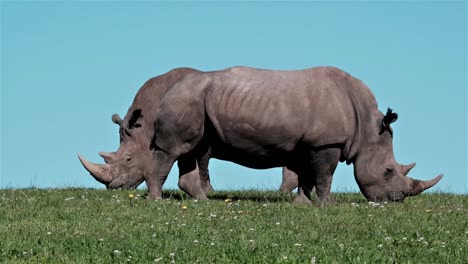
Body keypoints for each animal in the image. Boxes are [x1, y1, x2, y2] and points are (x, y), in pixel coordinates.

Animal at [144, 65, 444, 202]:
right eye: (388, 172)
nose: (395, 200)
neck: (367, 127)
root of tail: (169, 89)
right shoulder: (326, 143)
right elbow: (324, 175)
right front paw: (327, 204)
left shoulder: (307, 144)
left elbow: (306, 176)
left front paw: (303, 203)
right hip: (186, 99)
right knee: (173, 150)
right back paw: (157, 200)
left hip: (195, 102)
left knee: (193, 150)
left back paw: (204, 202)